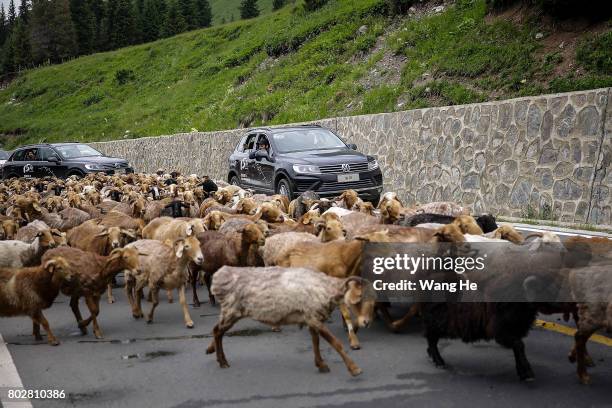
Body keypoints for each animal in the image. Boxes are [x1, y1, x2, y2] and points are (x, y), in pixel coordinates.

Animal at [208, 266, 366, 378]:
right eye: (359, 297)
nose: (365, 322)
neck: (325, 289)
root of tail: (219, 275)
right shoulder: (314, 317)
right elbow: (335, 343)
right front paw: (355, 369)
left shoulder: (311, 317)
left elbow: (315, 342)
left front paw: (321, 364)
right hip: (231, 311)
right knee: (216, 331)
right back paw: (222, 361)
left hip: (230, 312)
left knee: (218, 332)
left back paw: (220, 359)